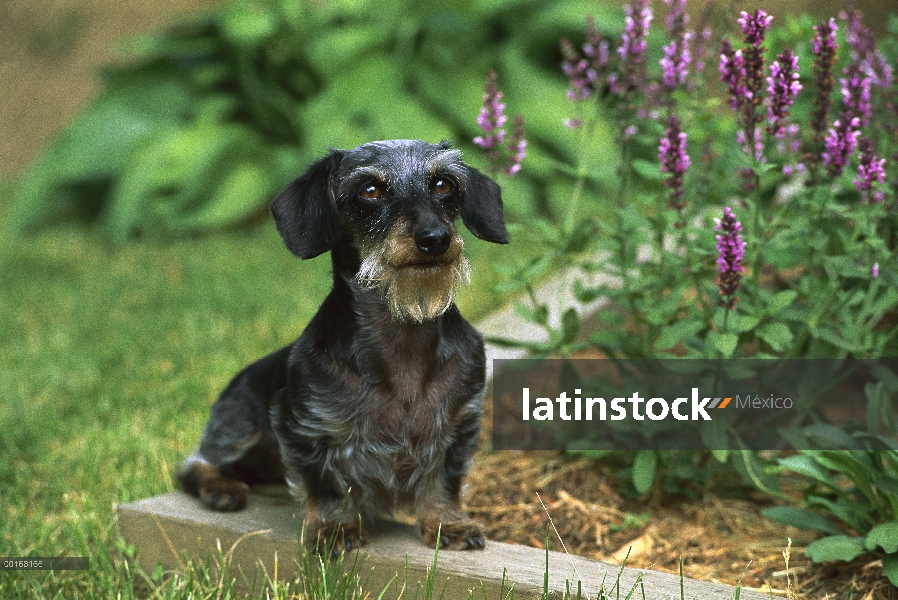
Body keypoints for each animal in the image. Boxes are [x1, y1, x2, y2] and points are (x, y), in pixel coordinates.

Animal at [178, 138, 508, 552]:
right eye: (370, 190)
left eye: (444, 184)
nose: (435, 239)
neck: (402, 338)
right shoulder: (303, 428)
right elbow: (325, 485)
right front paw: (335, 529)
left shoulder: (460, 423)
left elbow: (445, 482)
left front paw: (448, 523)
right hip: (240, 429)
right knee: (193, 463)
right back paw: (220, 488)